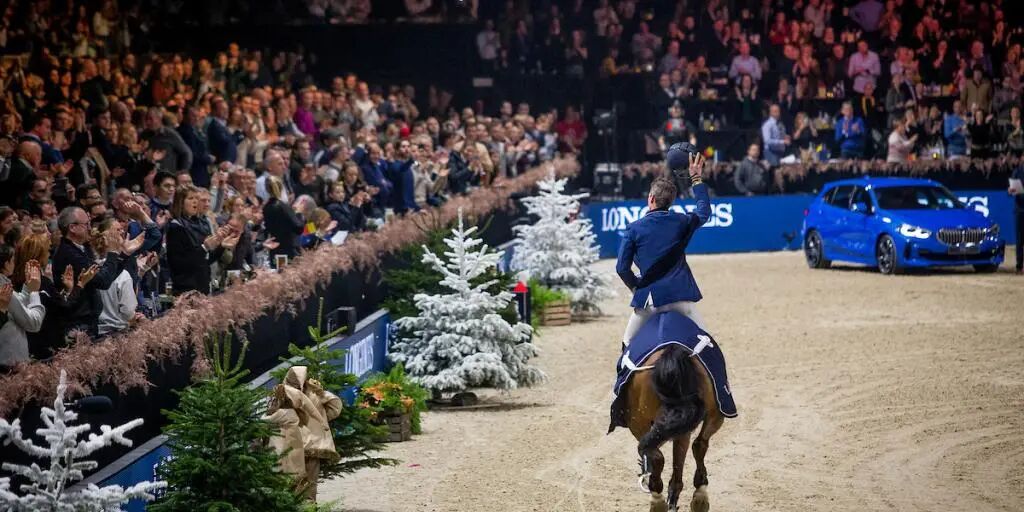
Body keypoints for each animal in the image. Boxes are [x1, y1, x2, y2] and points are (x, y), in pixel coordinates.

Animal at [624, 344, 724, 512]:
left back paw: (660, 499)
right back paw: (696, 496)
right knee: (698, 445)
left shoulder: (638, 424)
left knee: (660, 454)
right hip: (712, 413)